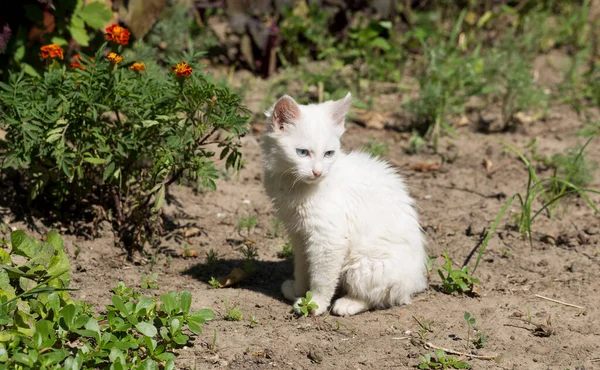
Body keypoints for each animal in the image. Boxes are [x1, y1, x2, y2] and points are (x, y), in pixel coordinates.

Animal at [262, 92, 426, 316]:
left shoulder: (328, 240)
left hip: (365, 264)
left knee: (379, 296)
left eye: (329, 154)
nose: (318, 172)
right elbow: (302, 268)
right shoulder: (300, 234)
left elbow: (322, 279)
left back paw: (347, 304)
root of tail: (416, 281)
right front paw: (299, 291)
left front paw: (314, 304)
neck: (294, 184)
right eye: (302, 152)